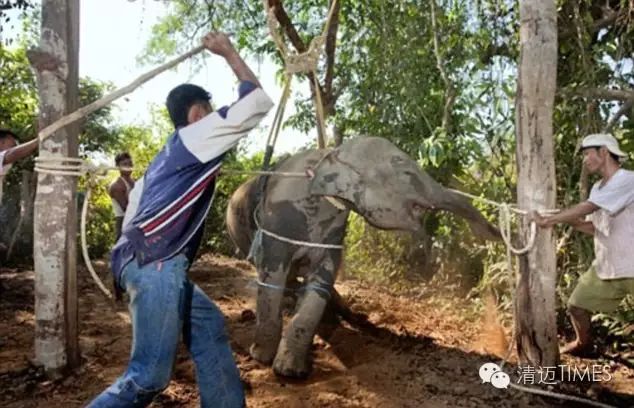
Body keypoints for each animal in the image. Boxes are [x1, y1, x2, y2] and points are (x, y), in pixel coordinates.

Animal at [226, 135, 498, 378]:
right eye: (406, 173)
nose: (492, 233)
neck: (331, 154)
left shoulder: (333, 231)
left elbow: (321, 281)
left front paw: (291, 371)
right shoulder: (278, 221)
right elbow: (272, 276)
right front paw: (262, 357)